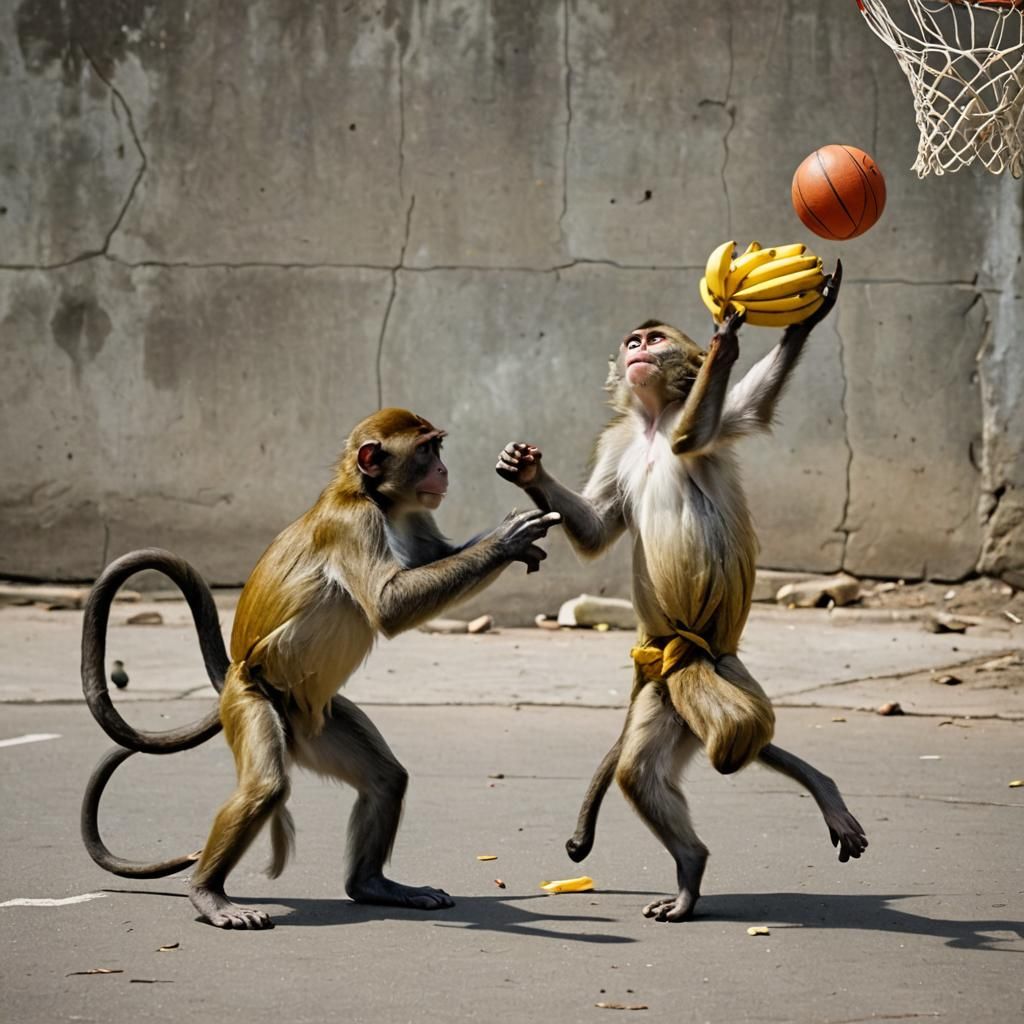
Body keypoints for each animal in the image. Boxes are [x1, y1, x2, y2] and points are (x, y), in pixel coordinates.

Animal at [79, 407, 560, 929]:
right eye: (426, 450)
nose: (443, 470)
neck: (369, 496)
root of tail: (236, 671)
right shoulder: (354, 523)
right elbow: (388, 607)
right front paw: (506, 541)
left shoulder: (411, 512)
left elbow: (434, 562)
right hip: (252, 700)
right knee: (266, 787)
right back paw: (208, 894)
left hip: (317, 720)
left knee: (386, 779)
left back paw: (371, 885)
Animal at [496, 262, 867, 922]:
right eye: (632, 343)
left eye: (655, 340)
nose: (638, 351)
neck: (651, 423)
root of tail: (679, 648)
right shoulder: (618, 440)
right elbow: (597, 529)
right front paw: (529, 471)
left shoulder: (693, 422)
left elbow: (697, 435)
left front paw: (750, 334)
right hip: (665, 681)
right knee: (643, 769)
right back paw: (692, 867)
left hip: (711, 666)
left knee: (726, 735)